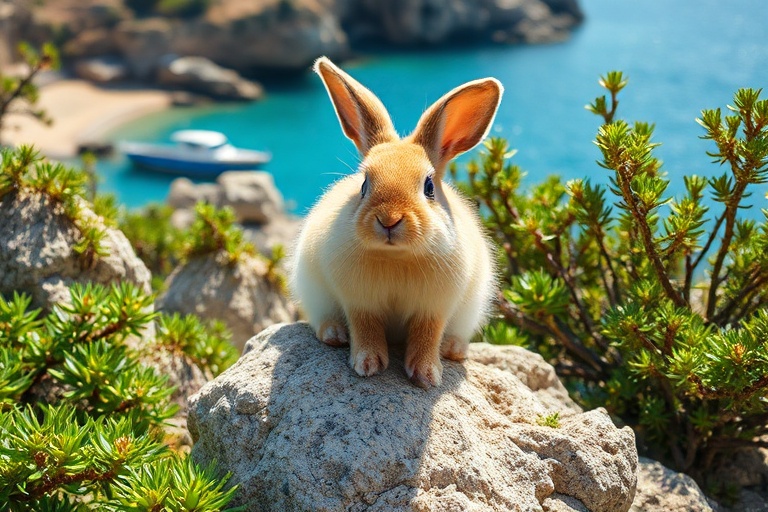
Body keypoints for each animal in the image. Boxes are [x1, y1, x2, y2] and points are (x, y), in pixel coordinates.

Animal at [290, 57, 502, 388]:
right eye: (364, 184)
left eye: (429, 186)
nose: (388, 219)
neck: (396, 257)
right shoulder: (359, 302)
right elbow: (365, 328)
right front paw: (367, 365)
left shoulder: (434, 308)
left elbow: (427, 335)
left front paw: (427, 375)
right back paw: (334, 335)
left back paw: (454, 349)